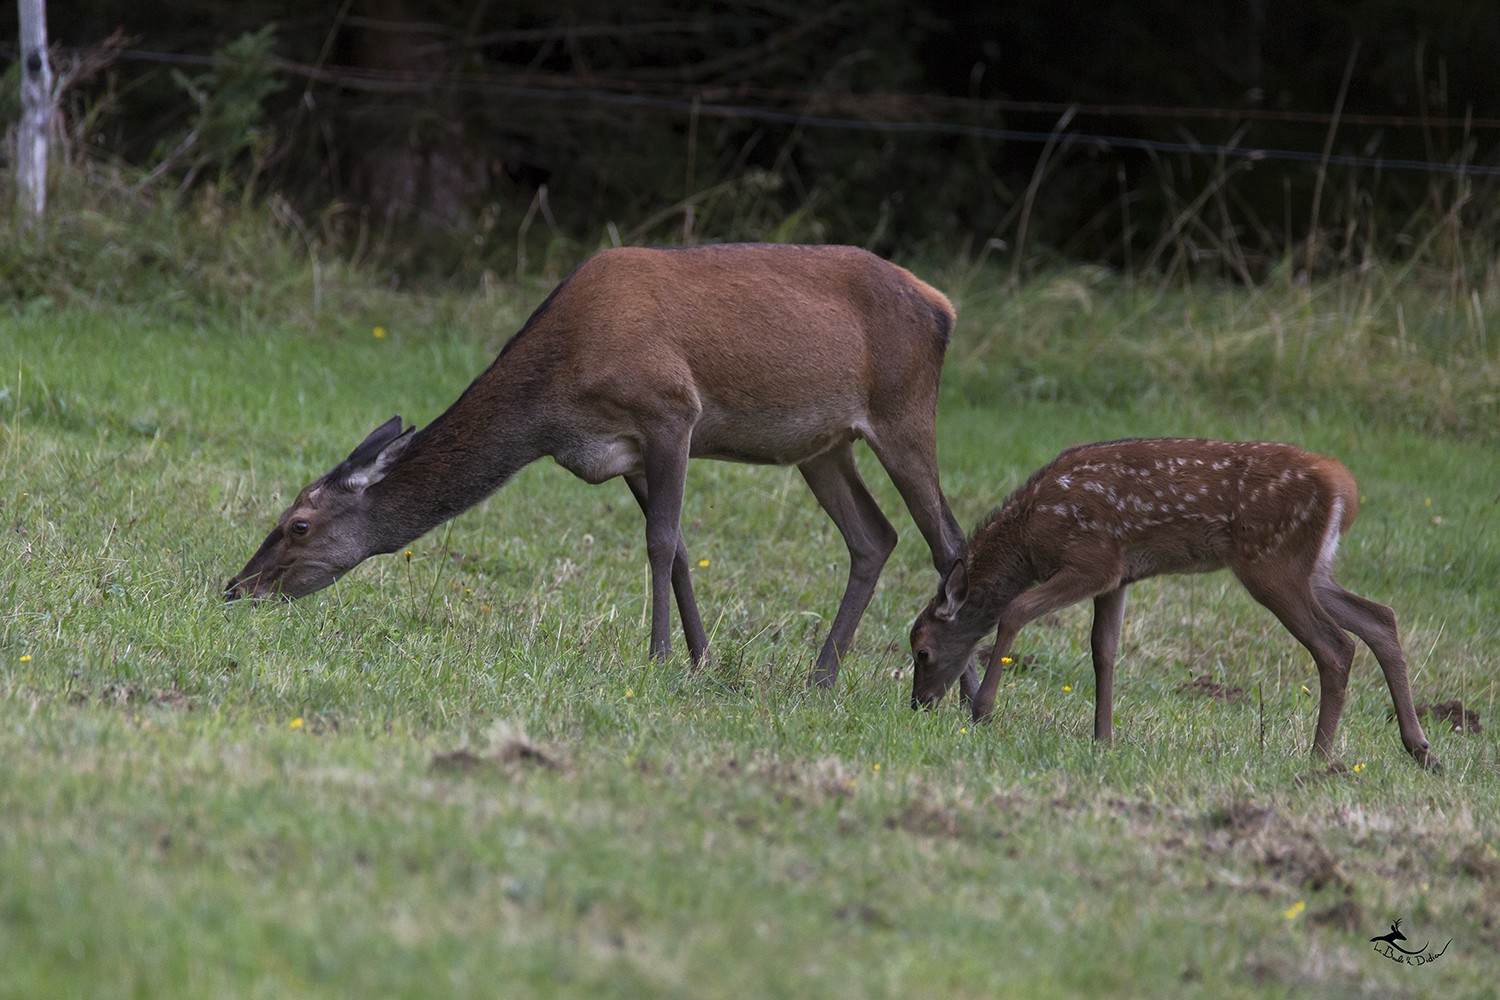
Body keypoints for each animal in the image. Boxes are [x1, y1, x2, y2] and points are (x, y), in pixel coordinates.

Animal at [219, 242, 972, 695]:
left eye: (299, 525)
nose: (234, 588)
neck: (557, 400)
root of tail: (943, 305)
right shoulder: (623, 452)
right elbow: (678, 550)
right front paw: (701, 660)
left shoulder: (671, 410)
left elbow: (661, 541)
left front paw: (660, 658)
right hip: (823, 445)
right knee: (874, 536)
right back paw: (820, 678)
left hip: (905, 411)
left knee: (949, 542)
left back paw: (961, 700)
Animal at [906, 434, 1434, 773]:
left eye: (922, 651)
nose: (917, 705)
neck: (1031, 536)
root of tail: (1346, 487)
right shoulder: (1118, 576)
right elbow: (1104, 649)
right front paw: (1103, 739)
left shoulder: (1092, 560)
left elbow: (1014, 610)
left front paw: (983, 710)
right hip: (1312, 569)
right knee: (1380, 618)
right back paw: (1421, 749)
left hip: (1272, 563)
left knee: (1336, 646)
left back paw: (1319, 758)